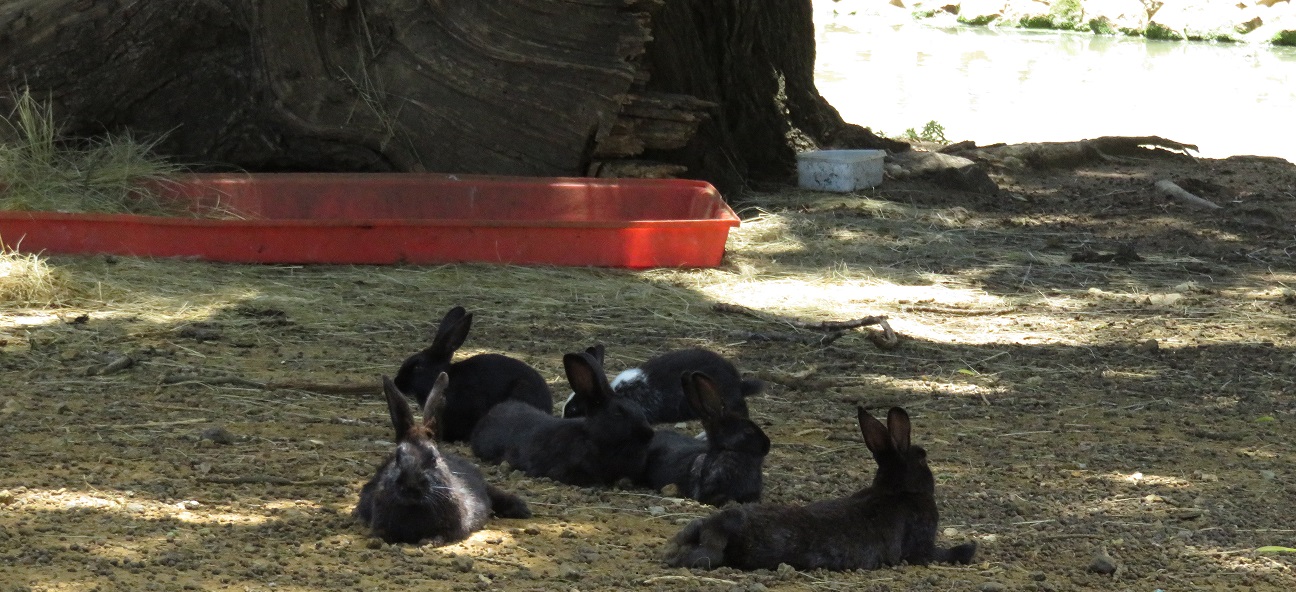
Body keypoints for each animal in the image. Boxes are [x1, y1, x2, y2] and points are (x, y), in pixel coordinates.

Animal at [353, 373, 532, 545]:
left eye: (433, 458)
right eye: (397, 458)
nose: (411, 486)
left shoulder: (453, 528)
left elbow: (442, 535)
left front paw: (429, 541)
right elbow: (381, 533)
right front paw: (376, 539)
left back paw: (522, 510)